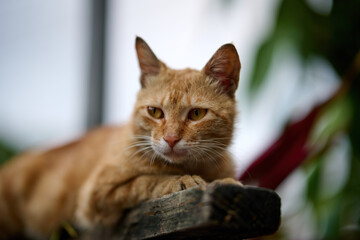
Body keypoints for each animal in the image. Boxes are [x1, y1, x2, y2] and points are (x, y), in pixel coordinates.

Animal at [0, 36, 242, 239]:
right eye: (155, 112)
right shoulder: (96, 195)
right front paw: (183, 180)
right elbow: (148, 181)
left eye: (197, 114)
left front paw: (223, 181)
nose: (171, 139)